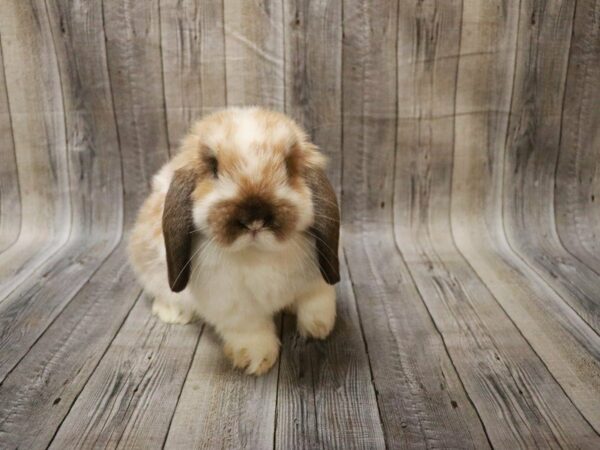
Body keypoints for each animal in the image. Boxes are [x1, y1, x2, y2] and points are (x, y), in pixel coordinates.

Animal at [128, 107, 340, 374]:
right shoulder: (232, 304)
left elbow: (317, 301)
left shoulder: (316, 279)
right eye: (214, 168)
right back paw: (172, 313)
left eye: (288, 166)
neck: (259, 254)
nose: (255, 217)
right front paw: (256, 359)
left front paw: (319, 329)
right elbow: (250, 329)